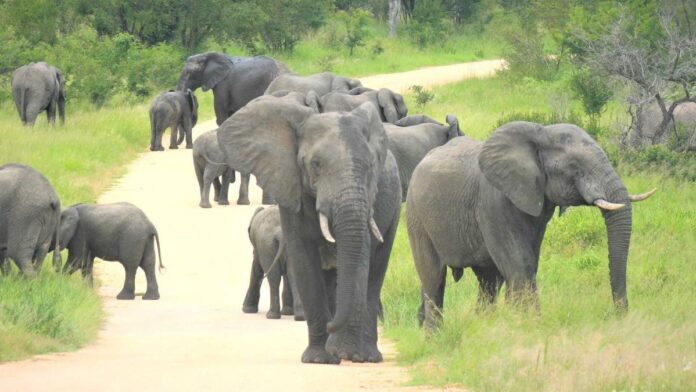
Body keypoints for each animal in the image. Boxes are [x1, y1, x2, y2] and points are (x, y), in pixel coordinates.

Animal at [218, 92, 402, 364]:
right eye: (315, 164)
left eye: (370, 166)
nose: (330, 327)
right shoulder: (291, 188)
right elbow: (304, 262)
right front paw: (320, 359)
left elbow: (361, 260)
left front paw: (345, 353)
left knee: (376, 270)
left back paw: (367, 356)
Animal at [406, 121, 656, 330]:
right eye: (574, 166)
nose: (618, 315)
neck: (540, 132)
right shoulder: (493, 202)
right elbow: (520, 263)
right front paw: (531, 327)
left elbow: (528, 263)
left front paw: (517, 323)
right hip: (416, 216)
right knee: (434, 278)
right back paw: (434, 337)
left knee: (488, 281)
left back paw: (482, 324)